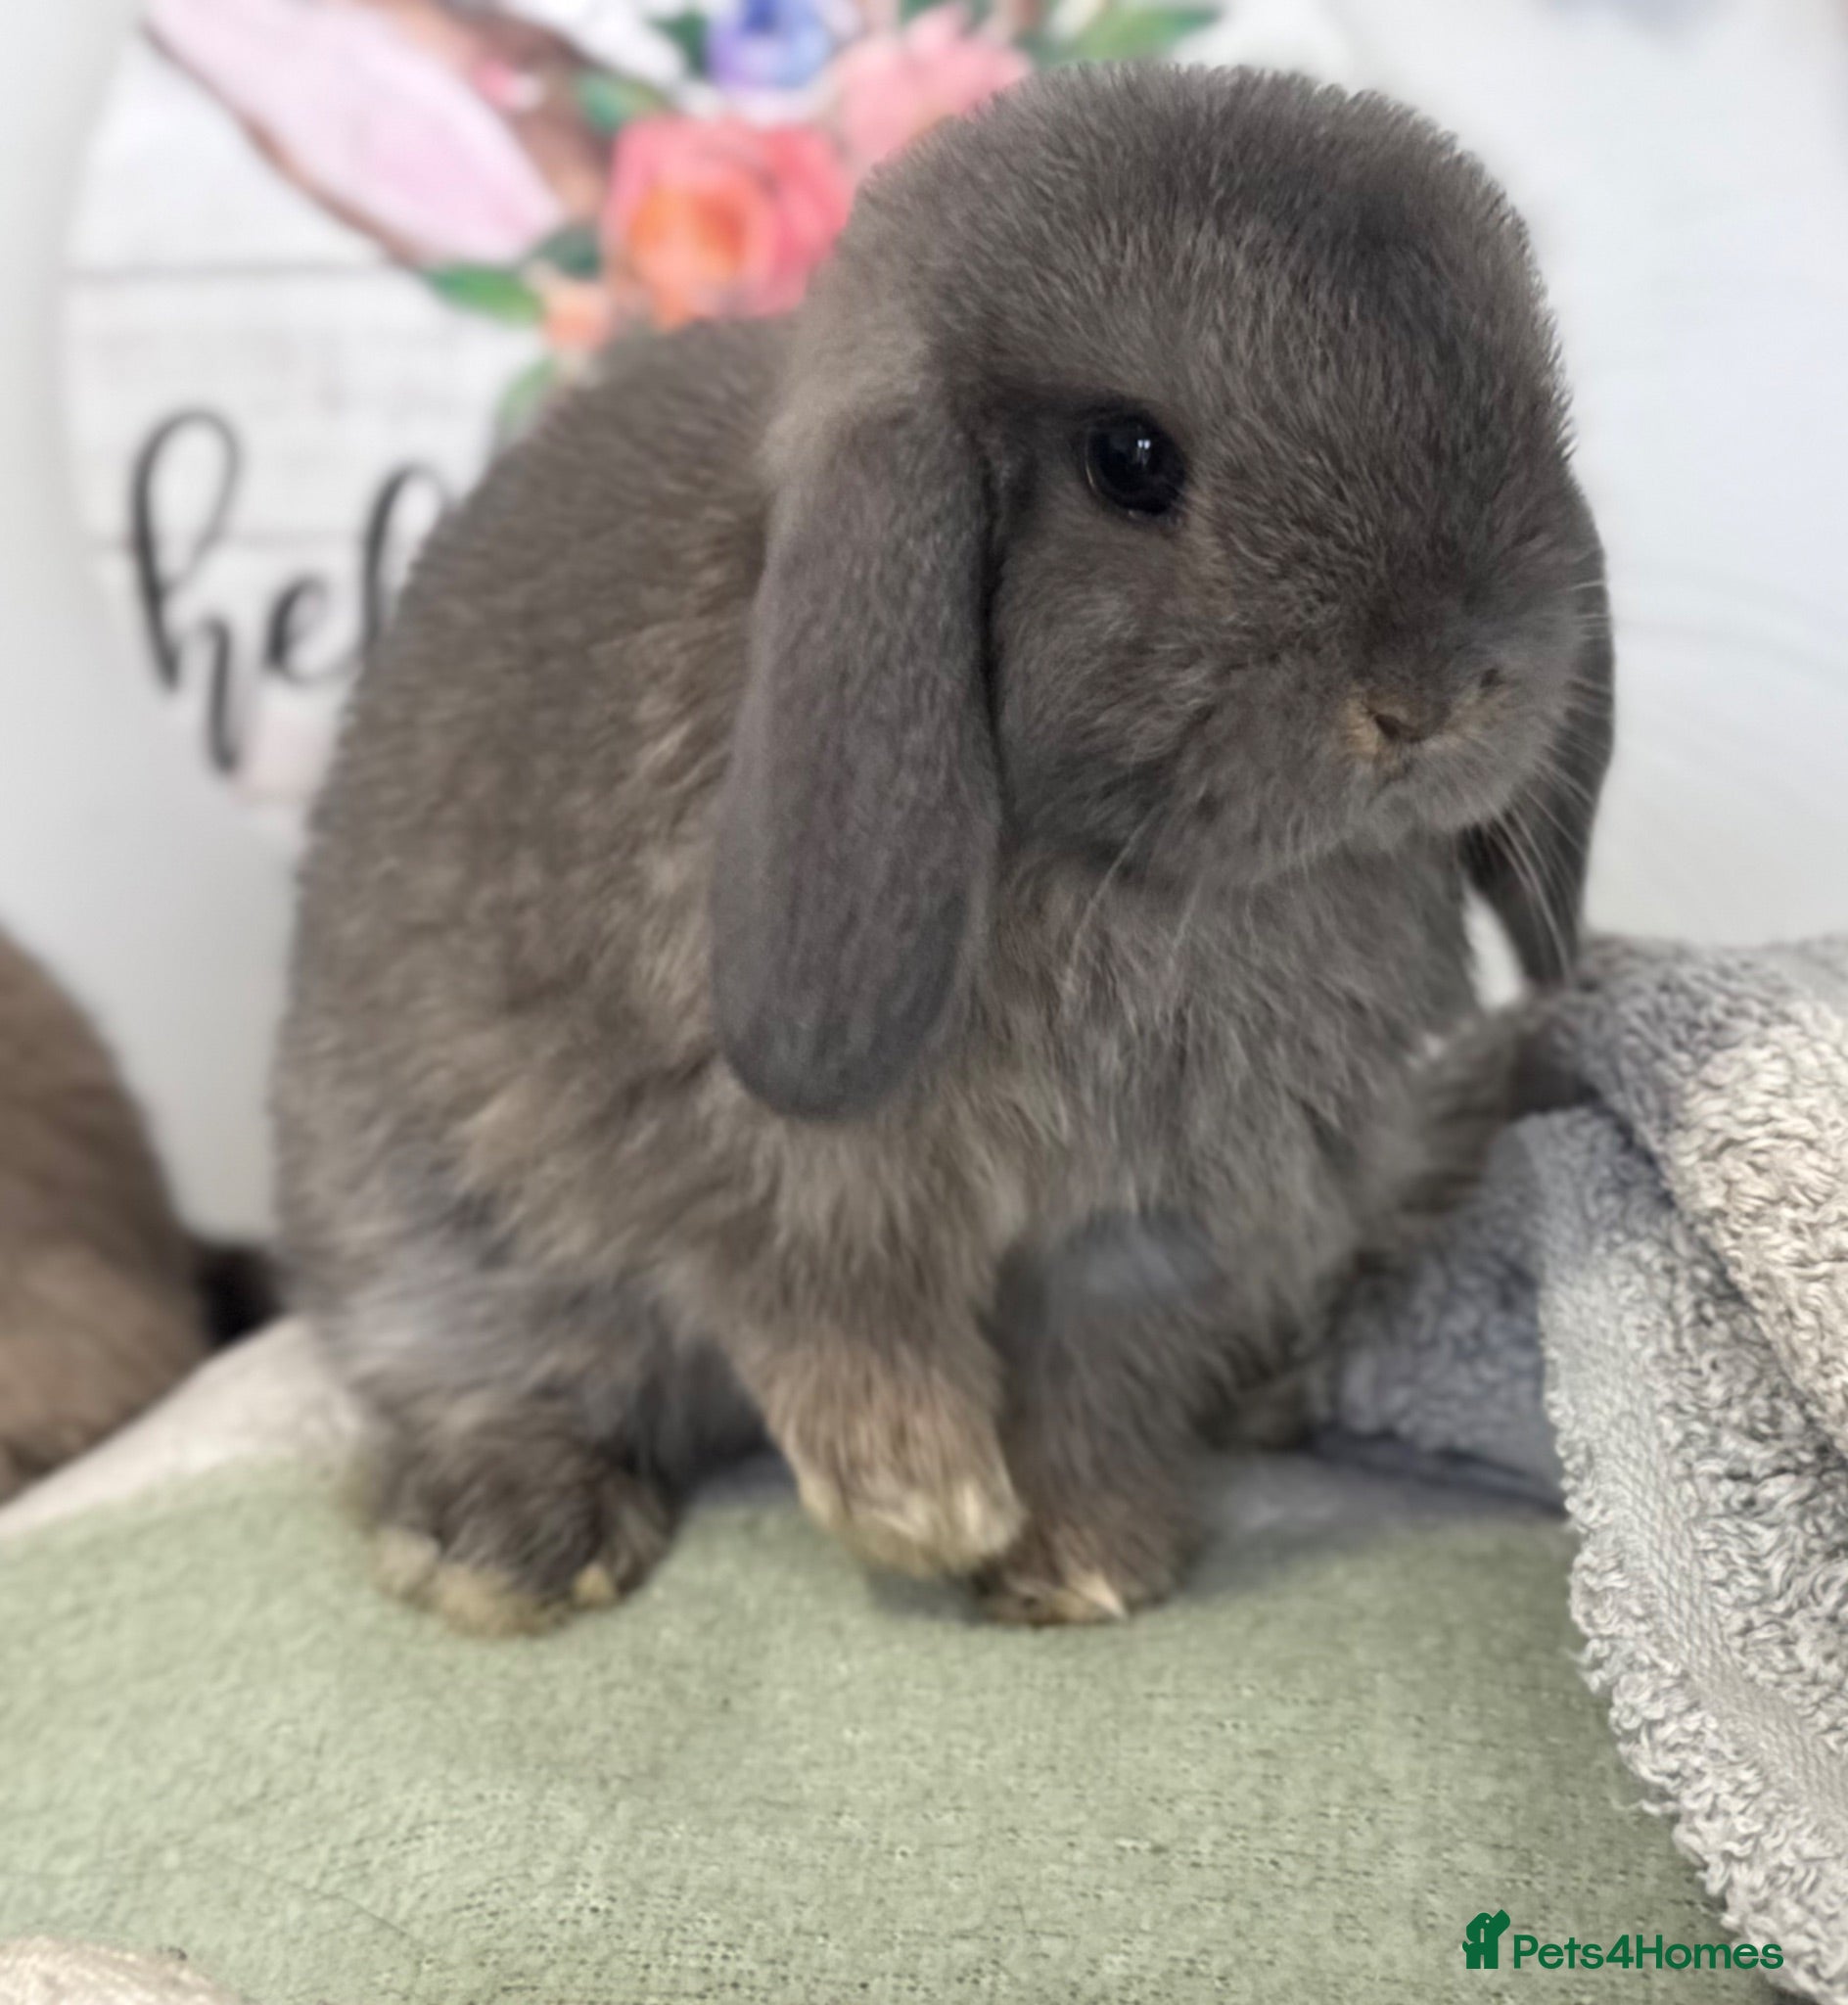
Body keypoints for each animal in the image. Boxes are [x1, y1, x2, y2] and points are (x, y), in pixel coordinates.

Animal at [274, 64, 1613, 1631]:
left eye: (1528, 416)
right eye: (1131, 460)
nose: (1435, 695)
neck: (1136, 878)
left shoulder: (1155, 1227)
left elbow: (1102, 1381)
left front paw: (1073, 1564)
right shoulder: (749, 1170)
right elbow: (827, 1314)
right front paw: (926, 1504)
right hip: (423, 1218)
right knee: (485, 1373)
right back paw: (507, 1549)